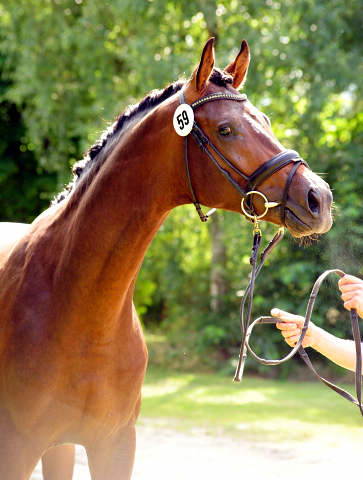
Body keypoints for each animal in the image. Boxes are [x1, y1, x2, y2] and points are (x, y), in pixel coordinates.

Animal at [0, 38, 332, 480]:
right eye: (226, 129)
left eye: (266, 120)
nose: (319, 199)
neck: (76, 303)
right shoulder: (17, 447)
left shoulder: (116, 445)